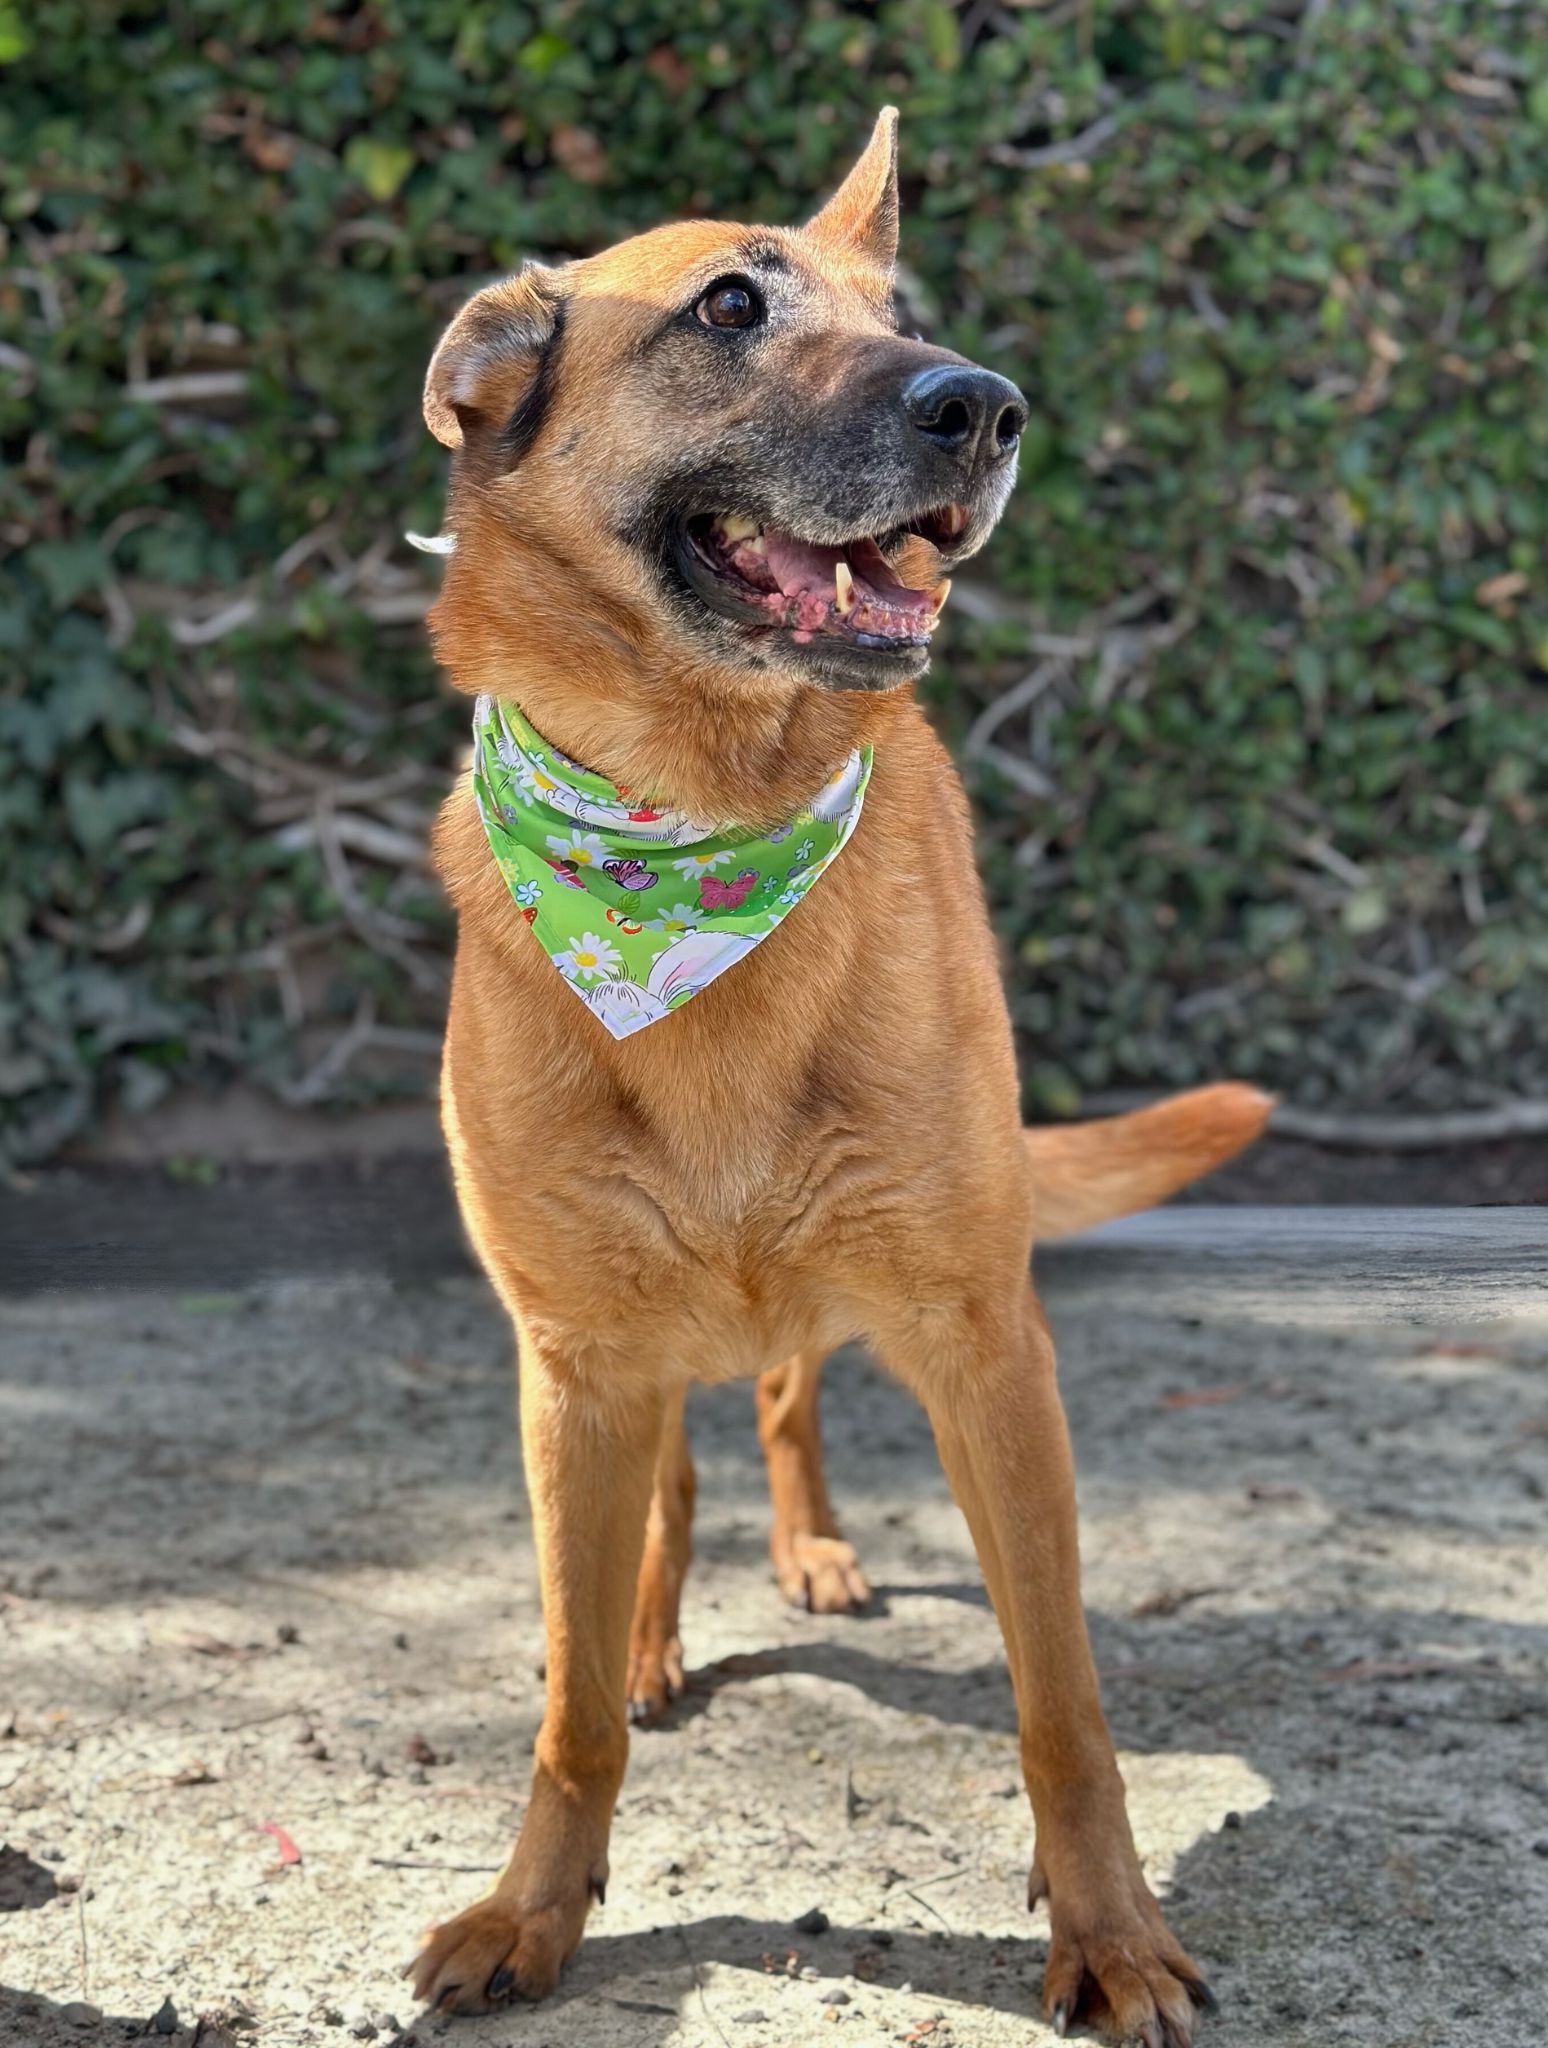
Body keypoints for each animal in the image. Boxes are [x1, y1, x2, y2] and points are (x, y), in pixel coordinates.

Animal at [411, 116, 1269, 2048]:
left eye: (903, 314)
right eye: (728, 306)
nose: (989, 405)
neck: (699, 826)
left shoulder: (984, 1344)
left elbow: (1060, 1703)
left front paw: (1109, 1937)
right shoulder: (575, 1361)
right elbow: (565, 1704)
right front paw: (532, 1908)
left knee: (789, 1392)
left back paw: (810, 1550)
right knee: (678, 1481)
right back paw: (660, 1627)